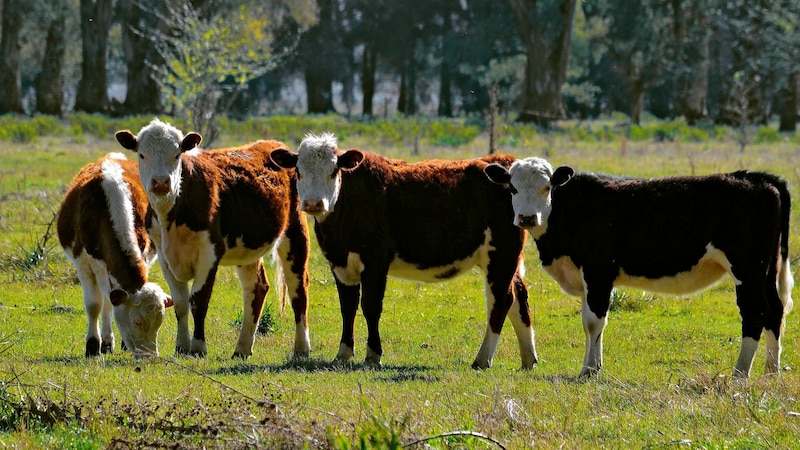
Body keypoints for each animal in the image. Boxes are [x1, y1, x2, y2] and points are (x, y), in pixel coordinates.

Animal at [57, 153, 173, 356]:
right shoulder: (83, 263)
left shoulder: (142, 255)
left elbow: (109, 305)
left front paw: (114, 344)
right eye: (137, 321)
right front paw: (92, 345)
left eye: (159, 322)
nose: (150, 356)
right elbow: (93, 305)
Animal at [114, 118, 310, 358]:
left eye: (177, 154)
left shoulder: (209, 253)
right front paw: (181, 346)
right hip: (248, 247)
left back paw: (301, 348)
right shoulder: (164, 255)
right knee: (256, 288)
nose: (161, 182)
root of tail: (272, 144)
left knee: (298, 290)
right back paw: (242, 348)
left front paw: (198, 347)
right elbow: (180, 303)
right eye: (142, 155)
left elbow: (198, 300)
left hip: (295, 233)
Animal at [268, 131, 536, 370]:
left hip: (501, 255)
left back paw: (482, 359)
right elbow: (348, 307)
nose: (314, 203)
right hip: (505, 259)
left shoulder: (375, 262)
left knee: (501, 300)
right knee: (518, 297)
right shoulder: (340, 263)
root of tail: (502, 162)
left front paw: (373, 355)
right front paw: (343, 354)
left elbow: (370, 306)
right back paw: (528, 359)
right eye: (298, 171)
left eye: (334, 171)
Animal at [482, 156, 792, 378]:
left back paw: (740, 373)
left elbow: (594, 321)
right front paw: (594, 366)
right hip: (766, 270)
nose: (527, 217)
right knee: (774, 310)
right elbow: (591, 322)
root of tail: (755, 177)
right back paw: (771, 372)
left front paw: (588, 371)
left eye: (547, 187)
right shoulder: (587, 280)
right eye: (512, 188)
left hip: (747, 270)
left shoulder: (598, 272)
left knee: (755, 312)